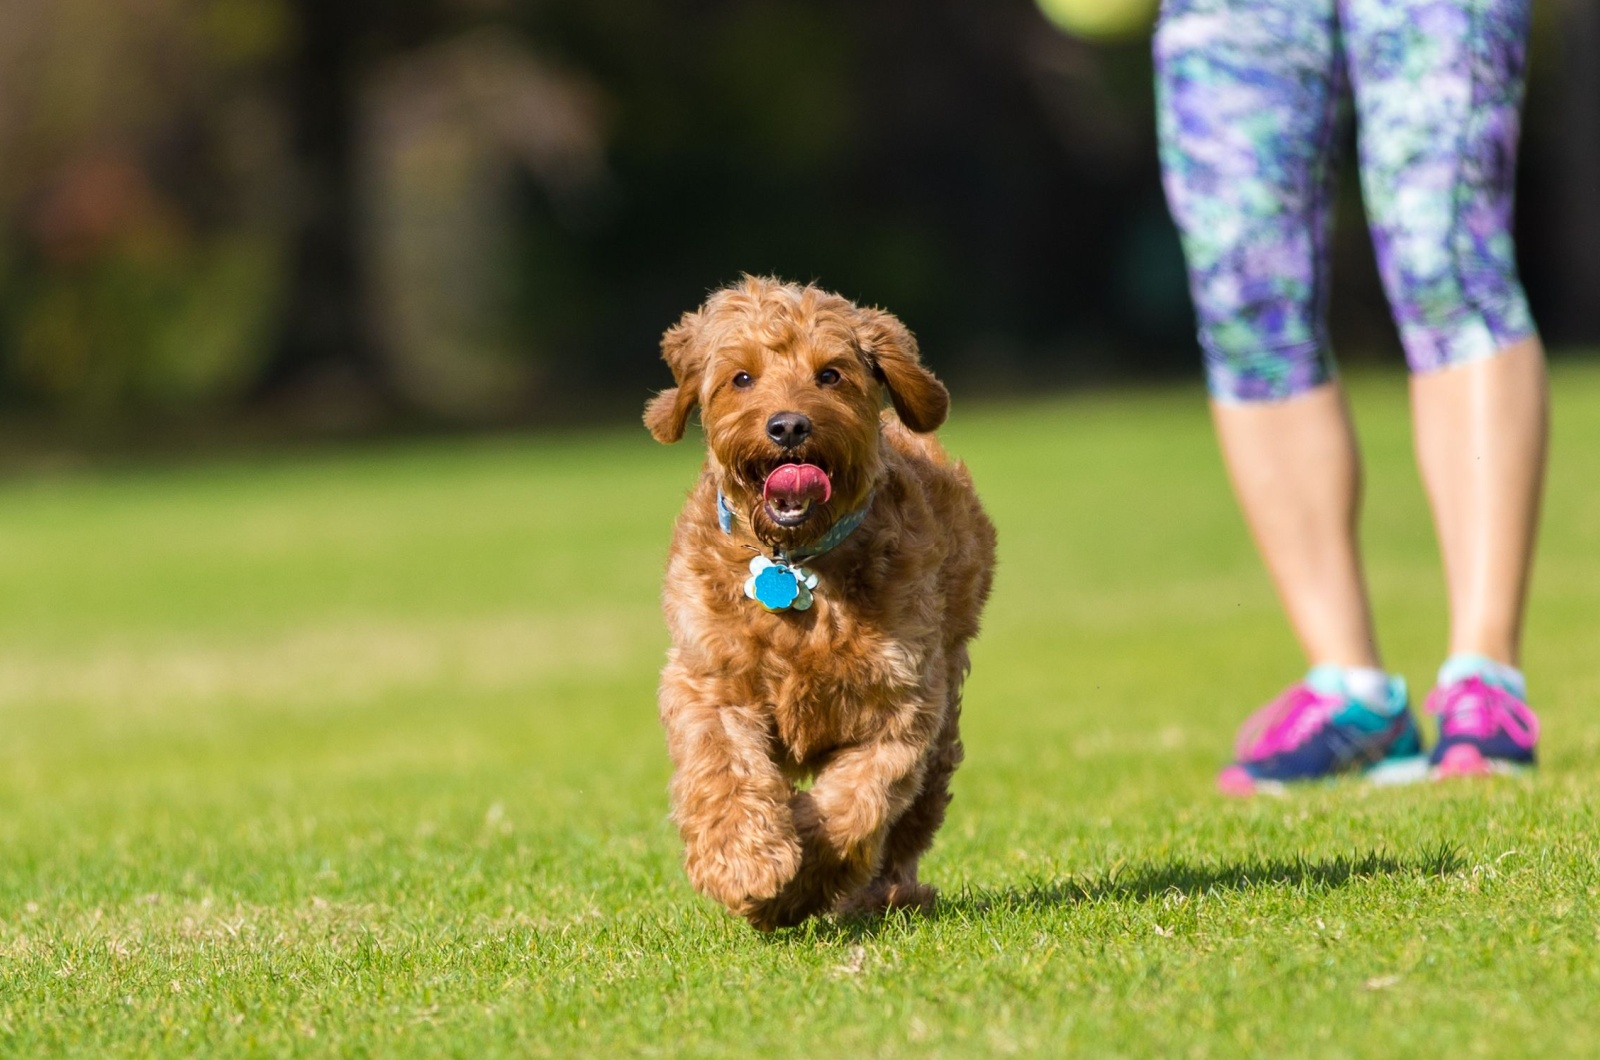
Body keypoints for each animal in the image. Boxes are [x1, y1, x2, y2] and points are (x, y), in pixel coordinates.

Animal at [643, 278, 992, 935]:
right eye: (742, 377)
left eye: (830, 374)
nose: (787, 427)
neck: (793, 562)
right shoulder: (708, 680)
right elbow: (723, 769)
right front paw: (746, 863)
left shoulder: (900, 703)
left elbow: (855, 804)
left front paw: (800, 875)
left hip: (942, 727)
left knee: (909, 824)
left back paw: (889, 894)